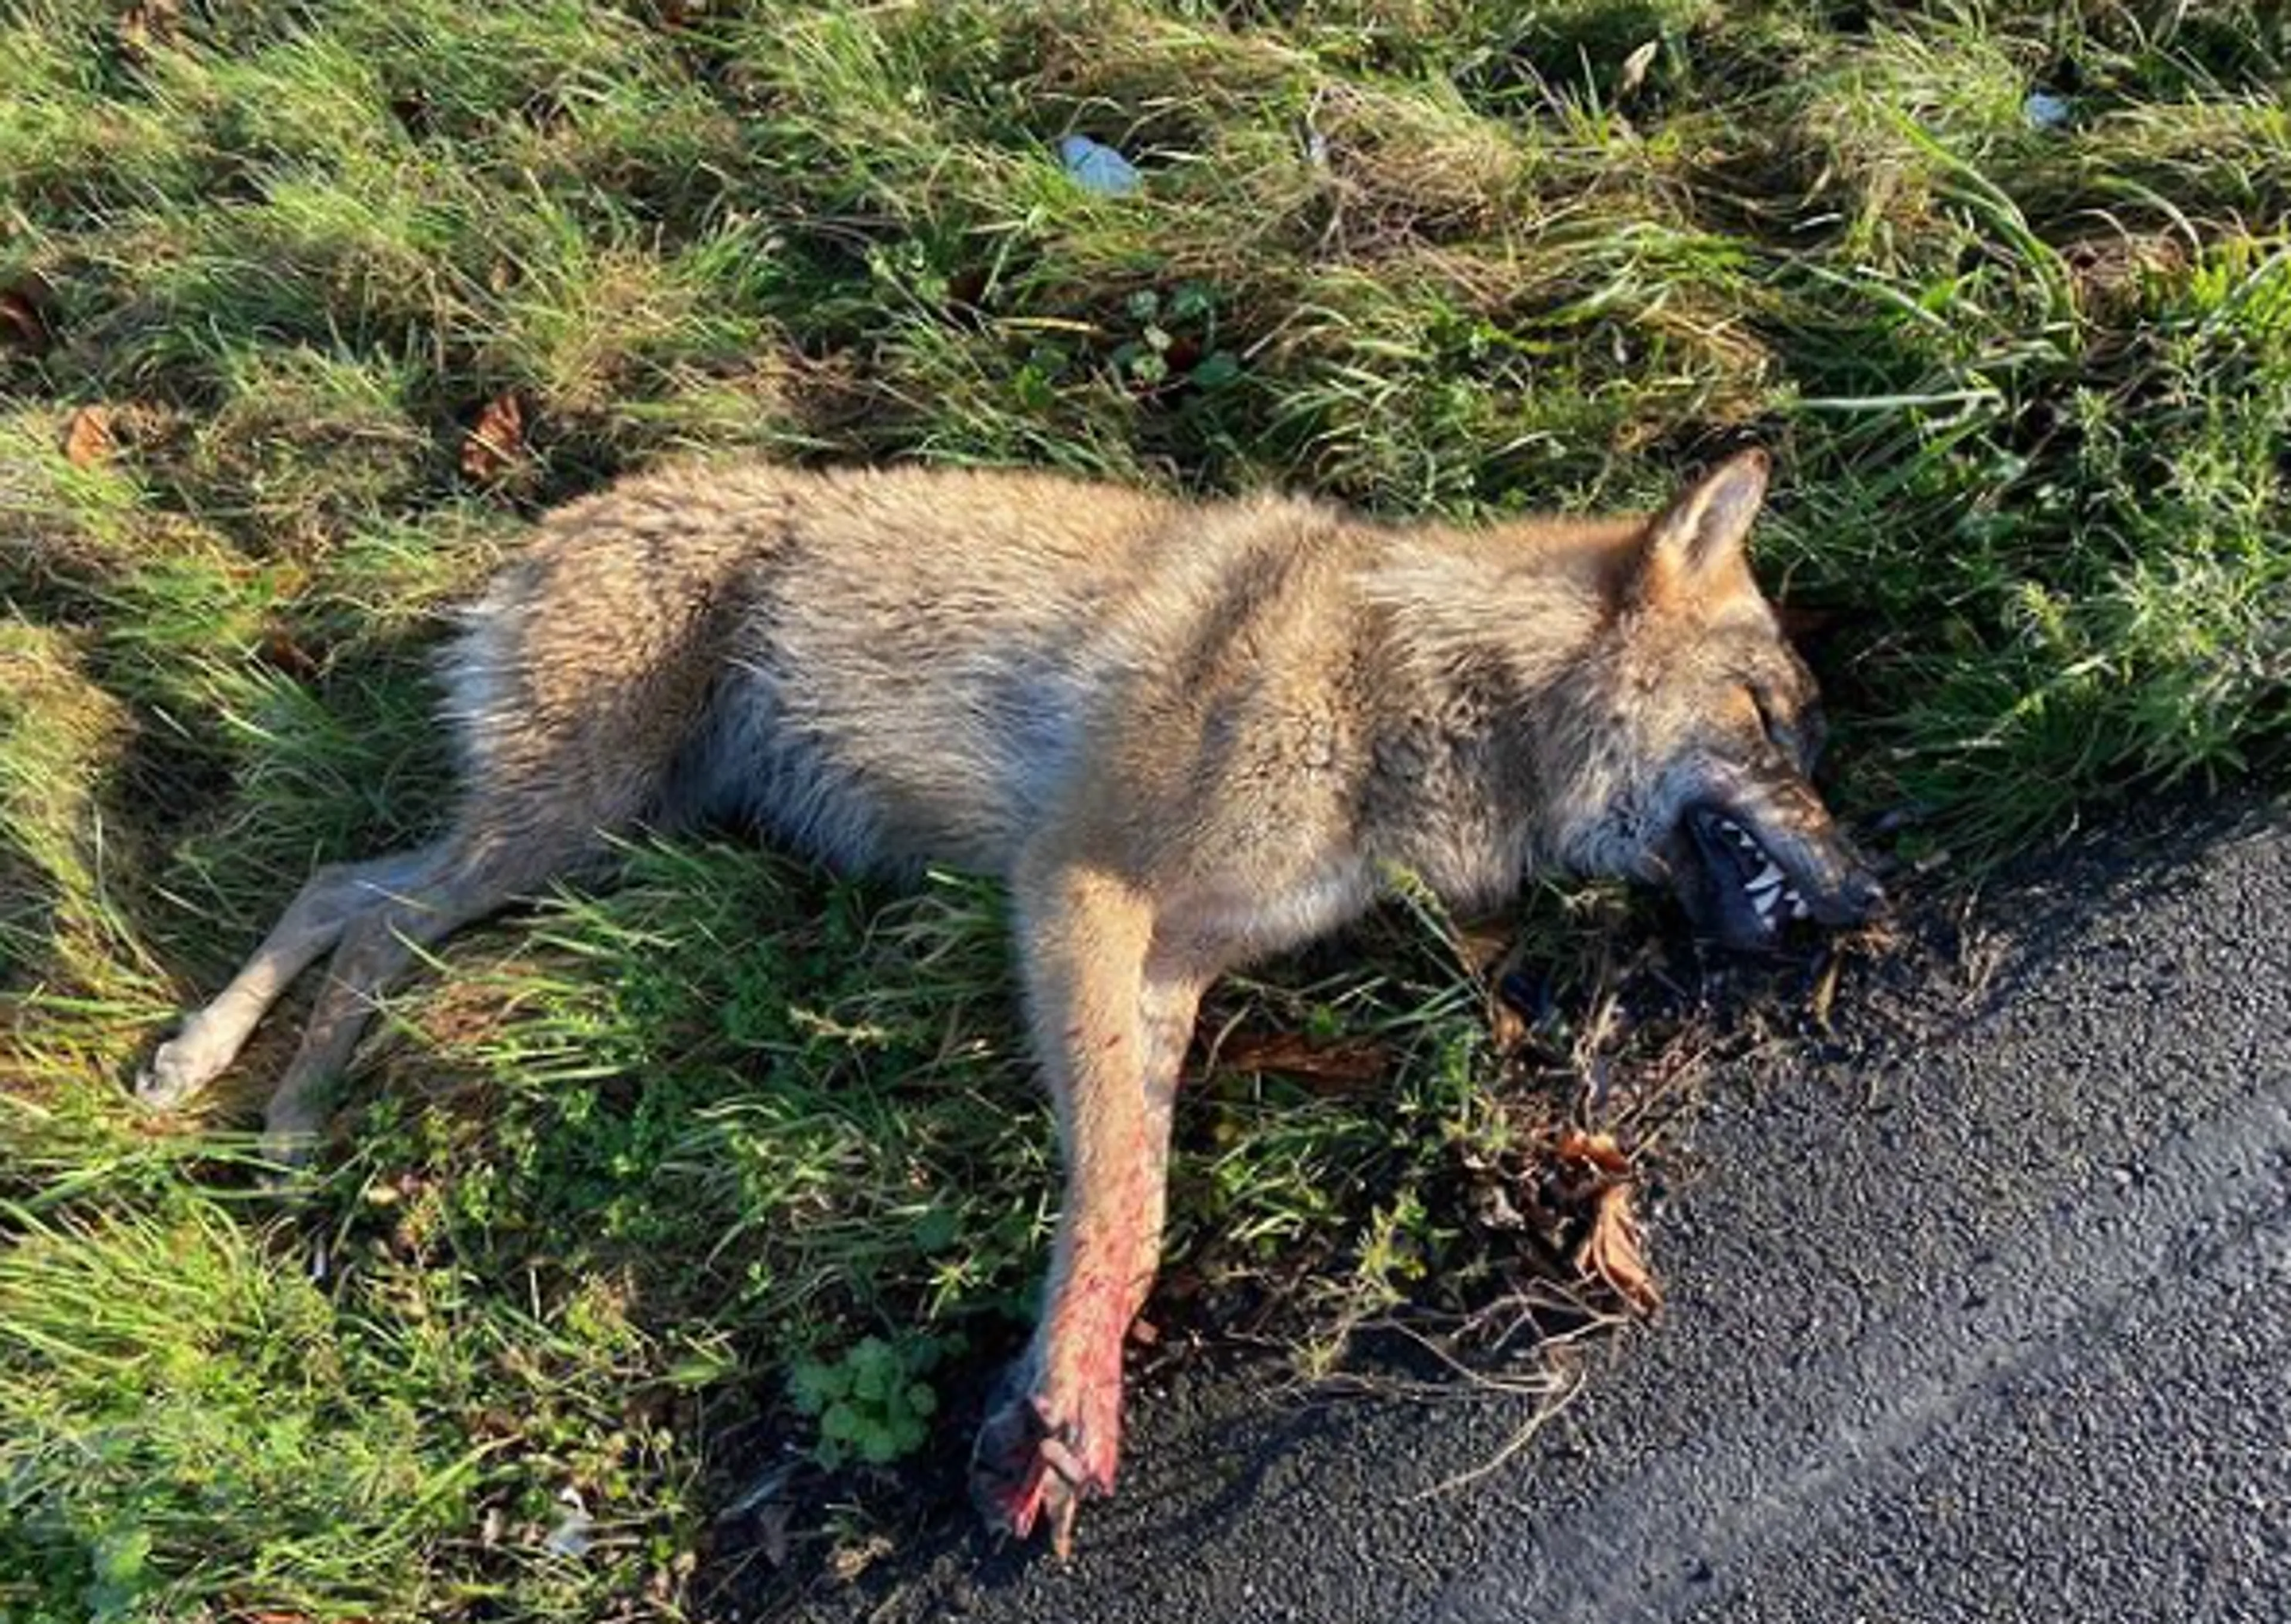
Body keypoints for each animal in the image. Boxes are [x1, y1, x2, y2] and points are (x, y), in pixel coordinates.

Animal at [137, 448, 1880, 1553]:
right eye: (1776, 726)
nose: (1873, 899)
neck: (1415, 685)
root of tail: (538, 532)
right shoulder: (1076, 894)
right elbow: (1119, 1191)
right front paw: (1058, 1408)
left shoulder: (1166, 965)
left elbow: (1134, 1206)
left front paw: (1061, 1393)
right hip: (565, 826)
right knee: (361, 913)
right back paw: (272, 1114)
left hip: (587, 839)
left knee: (343, 892)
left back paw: (218, 1082)